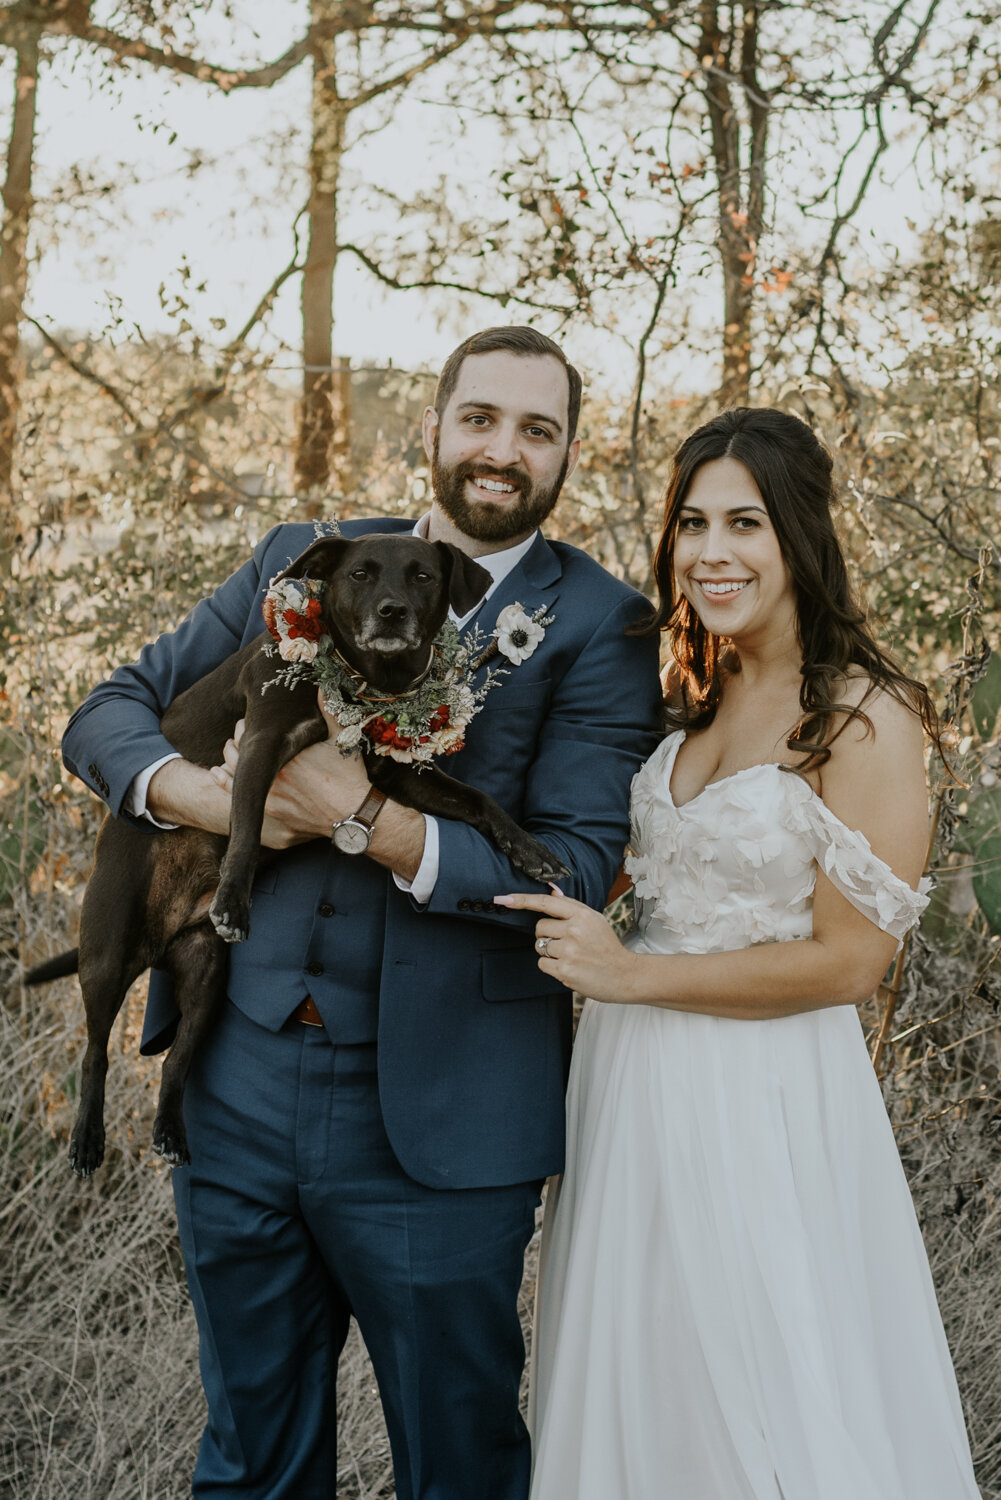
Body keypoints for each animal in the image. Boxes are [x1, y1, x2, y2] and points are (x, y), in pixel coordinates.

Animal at [27, 534, 567, 1176]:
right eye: (360, 574)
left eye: (424, 576)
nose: (392, 612)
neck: (365, 678)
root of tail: (162, 937)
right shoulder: (261, 745)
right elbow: (245, 825)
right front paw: (235, 901)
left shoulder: (396, 776)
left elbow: (480, 801)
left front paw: (531, 850)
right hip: (108, 956)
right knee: (95, 1051)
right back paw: (87, 1138)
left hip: (206, 980)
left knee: (175, 1060)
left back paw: (170, 1132)